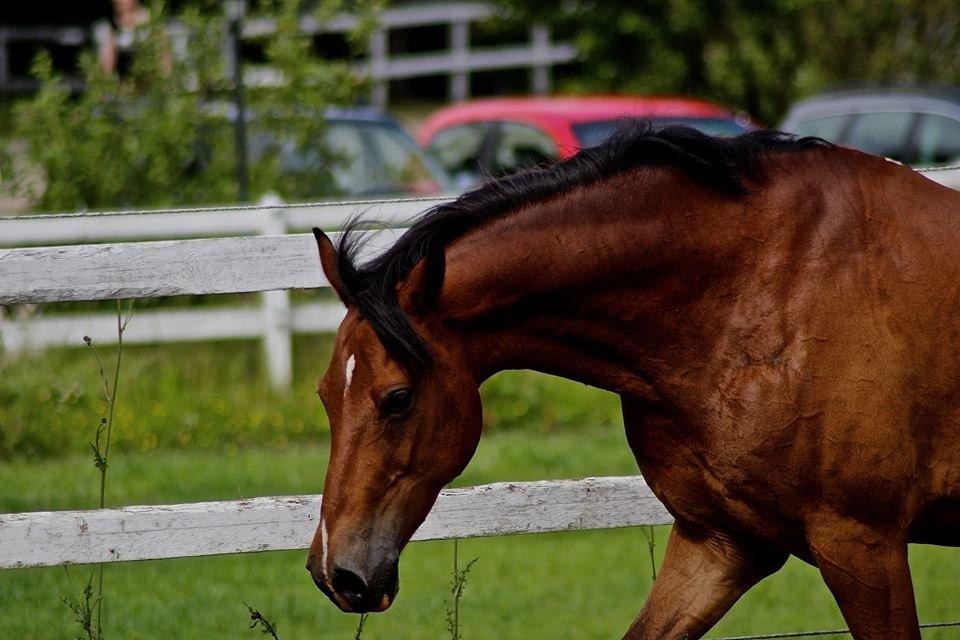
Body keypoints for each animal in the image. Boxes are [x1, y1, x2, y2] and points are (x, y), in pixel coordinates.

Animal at [304, 121, 960, 640]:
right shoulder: (721, 544)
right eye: (325, 396)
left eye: (397, 398)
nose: (336, 573)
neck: (767, 290)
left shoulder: (863, 546)